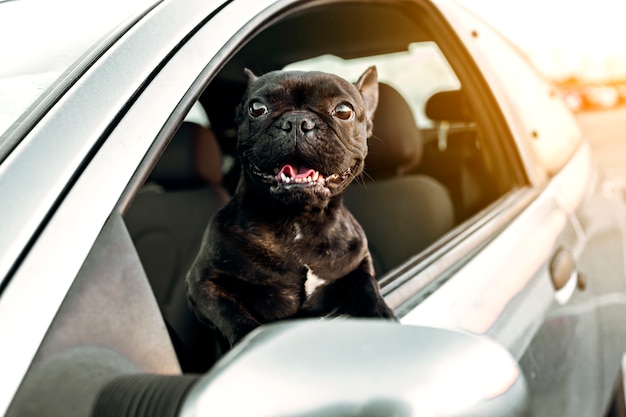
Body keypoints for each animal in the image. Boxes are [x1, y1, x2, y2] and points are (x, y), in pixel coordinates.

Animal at [184, 66, 394, 346]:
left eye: (343, 110)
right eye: (257, 108)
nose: (297, 121)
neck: (299, 221)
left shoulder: (358, 262)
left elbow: (366, 285)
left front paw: (381, 314)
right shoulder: (203, 284)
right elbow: (232, 314)